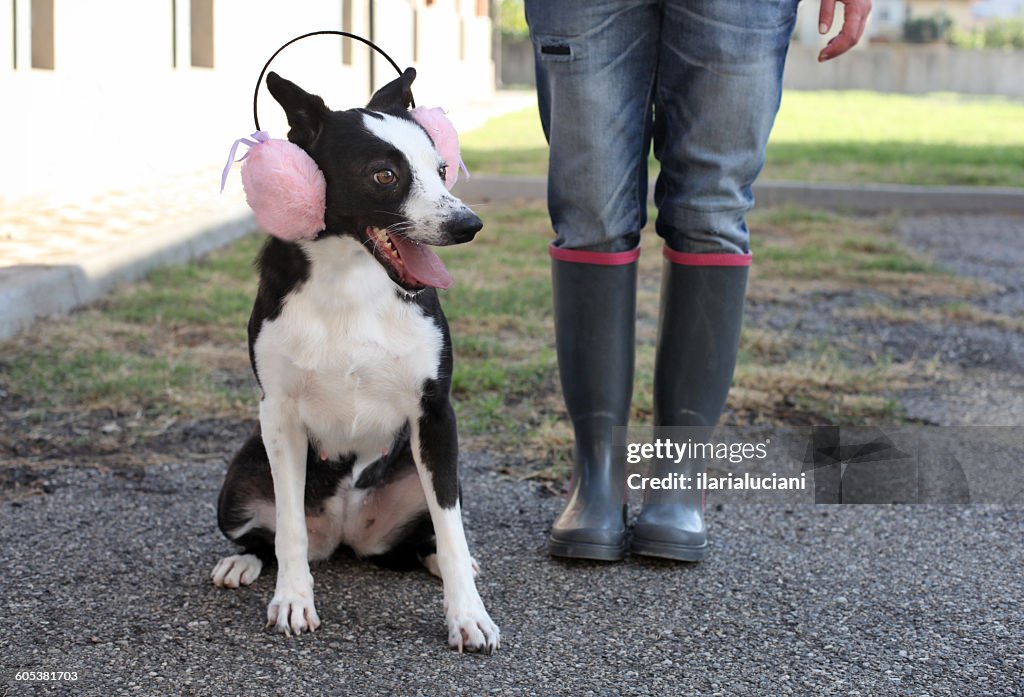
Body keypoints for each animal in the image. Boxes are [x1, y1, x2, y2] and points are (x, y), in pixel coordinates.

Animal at [211, 68, 499, 650]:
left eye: (441, 169)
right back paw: (241, 563)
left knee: (427, 535)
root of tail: (345, 533)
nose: (468, 225)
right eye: (384, 175)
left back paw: (435, 559)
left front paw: (467, 614)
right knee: (264, 536)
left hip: (426, 471)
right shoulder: (279, 417)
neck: (351, 278)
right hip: (239, 481)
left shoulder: (435, 414)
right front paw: (293, 600)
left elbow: (452, 530)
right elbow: (289, 532)